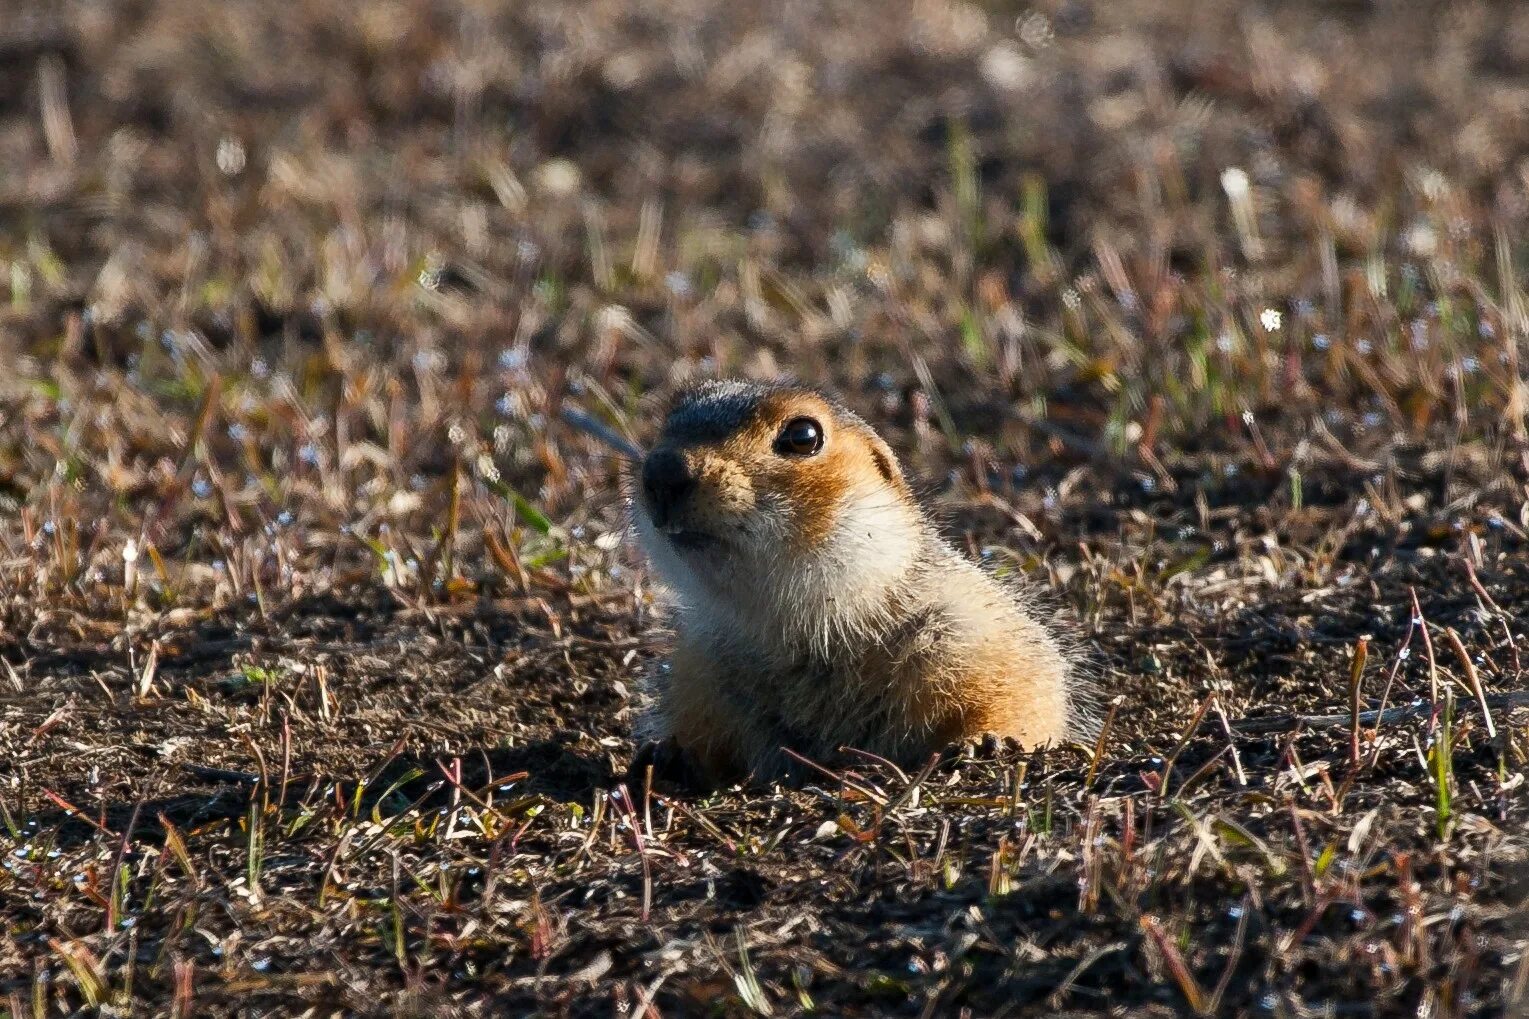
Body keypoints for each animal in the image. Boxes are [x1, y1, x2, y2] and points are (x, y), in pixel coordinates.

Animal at [626, 376, 1082, 780]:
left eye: (803, 435)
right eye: (671, 416)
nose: (663, 470)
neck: (790, 626)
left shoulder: (973, 629)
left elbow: (1026, 691)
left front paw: (989, 741)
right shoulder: (695, 671)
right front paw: (669, 756)